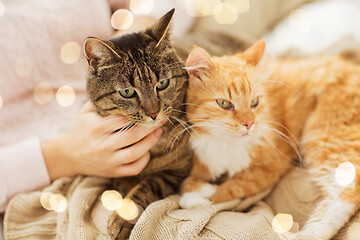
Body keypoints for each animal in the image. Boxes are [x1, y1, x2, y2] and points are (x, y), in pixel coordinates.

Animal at [84, 8, 193, 238]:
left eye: (162, 84)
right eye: (127, 92)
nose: (153, 113)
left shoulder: (176, 171)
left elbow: (146, 187)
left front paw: (123, 218)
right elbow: (124, 179)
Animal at [180, 40, 360, 239]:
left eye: (254, 102)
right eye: (224, 104)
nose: (249, 124)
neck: (227, 144)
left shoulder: (269, 170)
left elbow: (231, 188)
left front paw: (198, 198)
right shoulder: (202, 163)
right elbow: (187, 183)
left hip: (323, 136)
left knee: (347, 192)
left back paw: (307, 234)